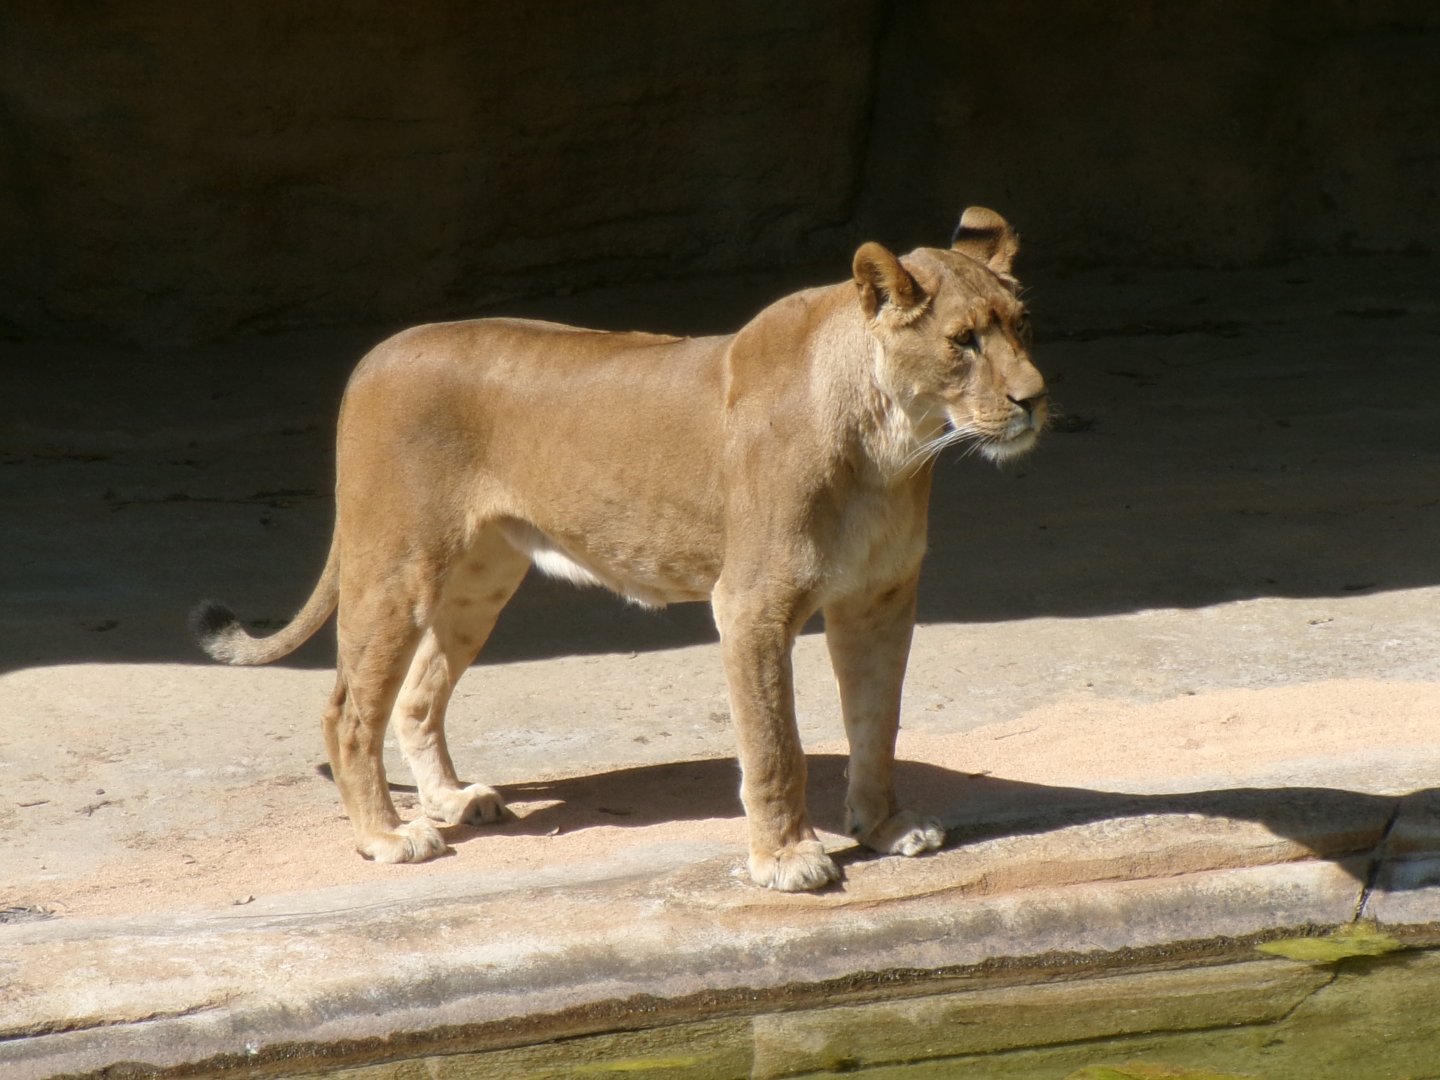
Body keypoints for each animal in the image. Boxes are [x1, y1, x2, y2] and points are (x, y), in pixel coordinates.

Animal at [191, 206, 1047, 892]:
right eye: (963, 342)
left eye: (1021, 325)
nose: (1035, 399)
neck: (896, 444)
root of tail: (376, 355)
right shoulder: (752, 605)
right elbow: (777, 744)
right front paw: (786, 859)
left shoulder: (880, 599)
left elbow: (878, 722)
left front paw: (886, 827)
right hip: (396, 565)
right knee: (348, 709)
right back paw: (388, 835)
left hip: (480, 577)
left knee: (416, 695)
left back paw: (453, 800)